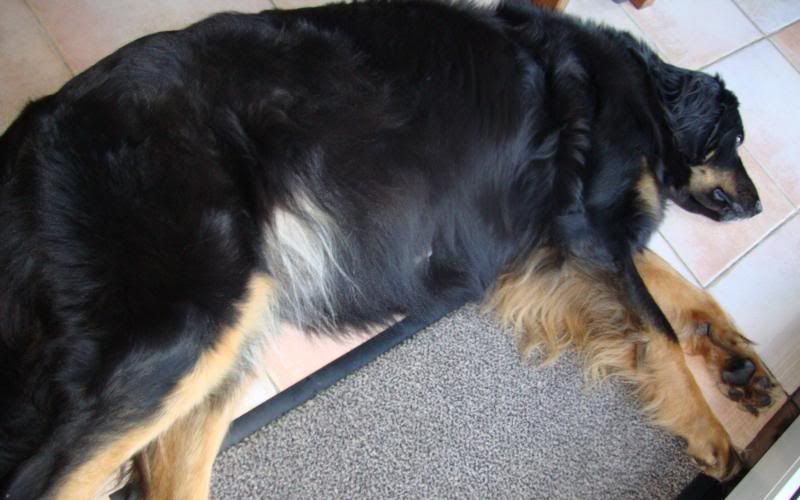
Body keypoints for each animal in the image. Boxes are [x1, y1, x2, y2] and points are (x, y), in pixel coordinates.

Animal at [0, 0, 781, 497]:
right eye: (739, 140)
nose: (758, 204)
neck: (642, 87)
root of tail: (33, 125)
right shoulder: (586, 226)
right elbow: (658, 327)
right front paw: (715, 434)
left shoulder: (563, 242)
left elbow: (680, 291)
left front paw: (738, 361)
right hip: (184, 324)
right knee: (43, 480)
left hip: (232, 331)